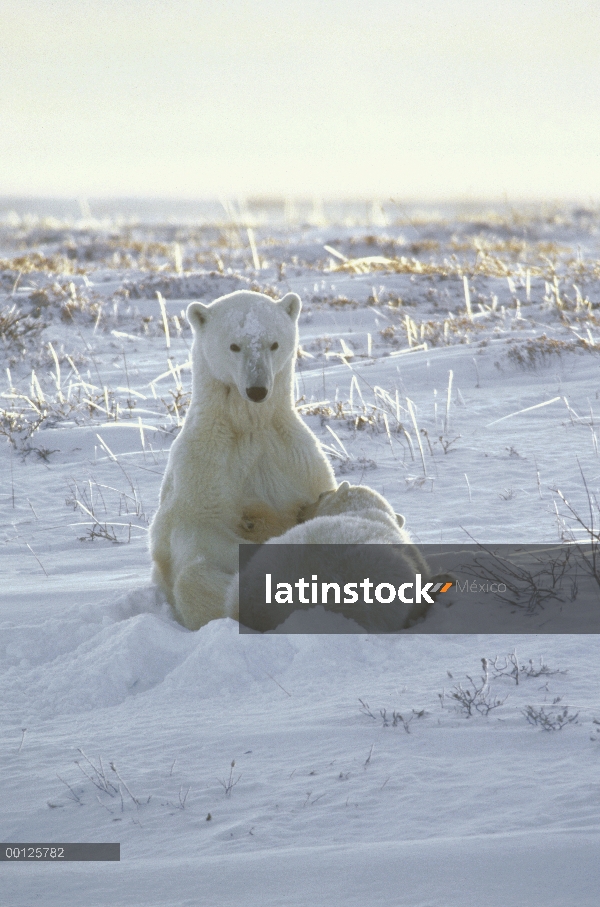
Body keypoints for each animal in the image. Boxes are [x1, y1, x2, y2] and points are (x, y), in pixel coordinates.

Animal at [149, 290, 338, 632]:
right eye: (234, 345)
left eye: (274, 344)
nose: (257, 390)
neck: (250, 427)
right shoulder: (204, 469)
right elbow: (203, 534)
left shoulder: (296, 461)